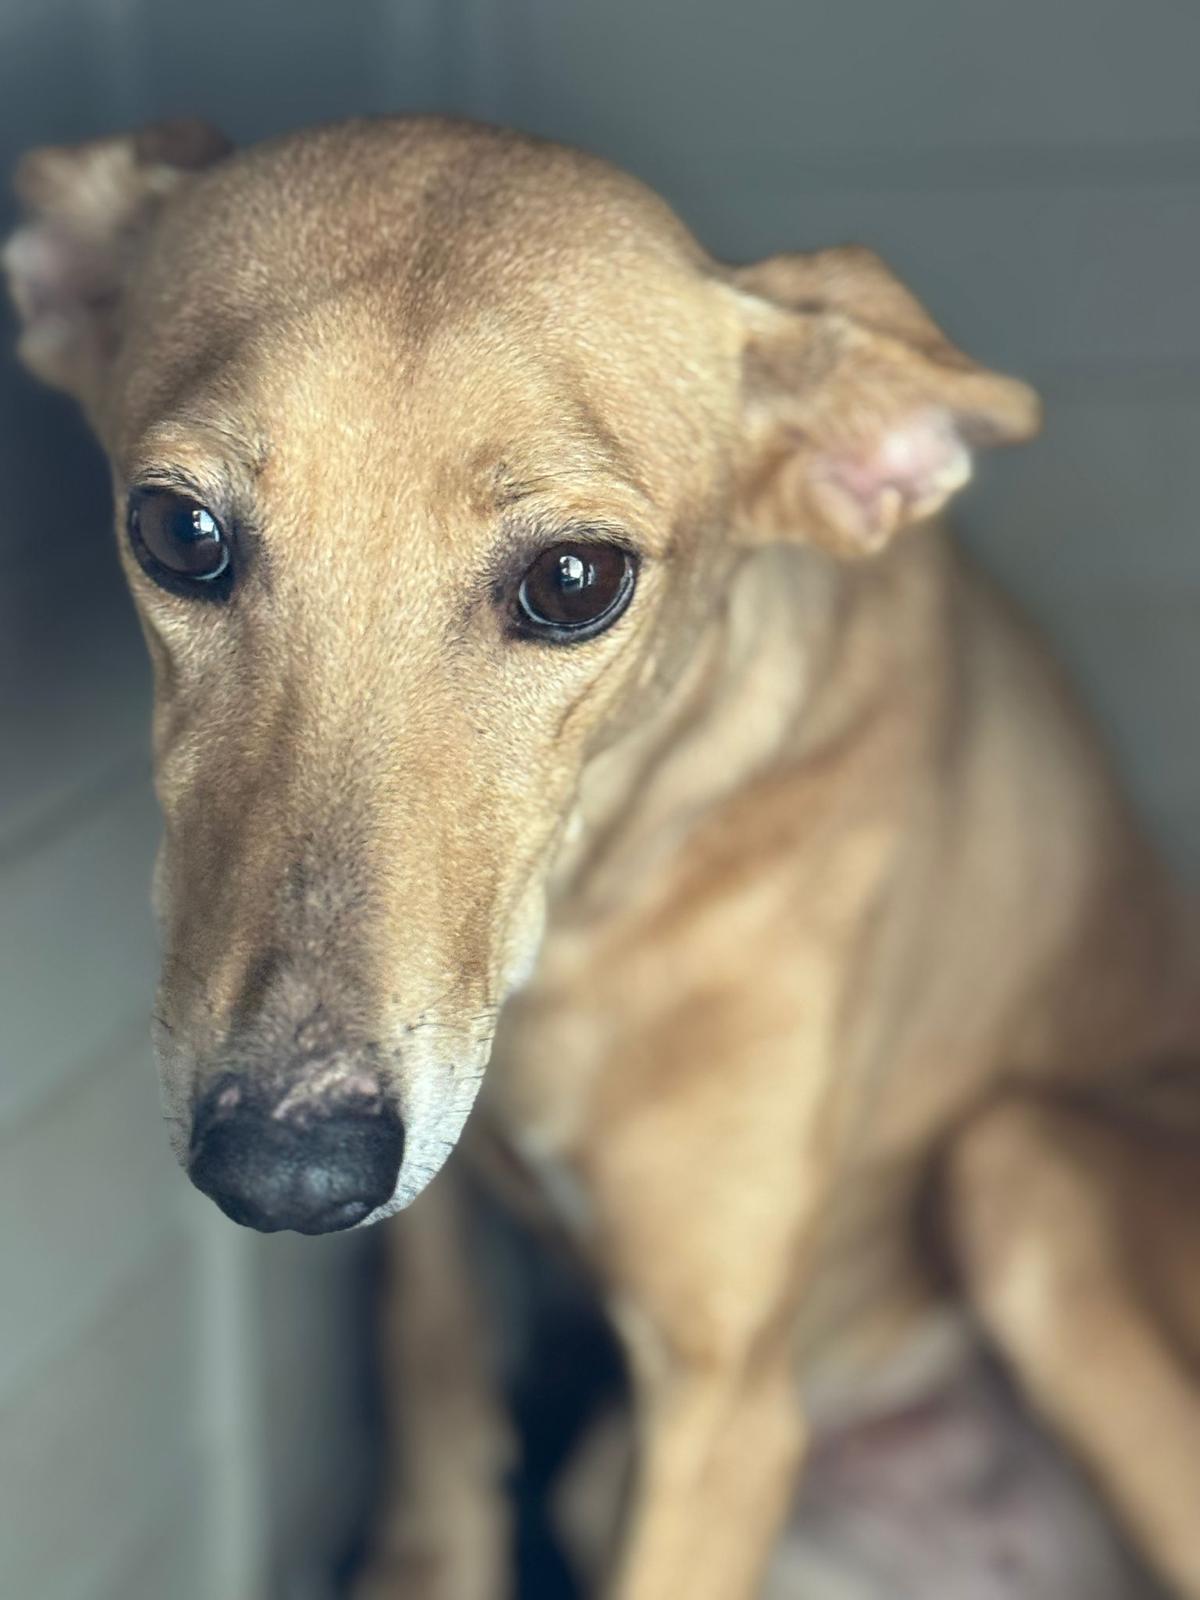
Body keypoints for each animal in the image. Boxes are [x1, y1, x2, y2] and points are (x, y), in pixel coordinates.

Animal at [7, 115, 1200, 1600]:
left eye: (574, 581)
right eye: (179, 531)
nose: (283, 1176)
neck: (584, 918)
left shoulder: (723, 1409)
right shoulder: (439, 1213)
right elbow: (436, 1386)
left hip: (1019, 1170)